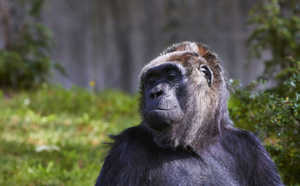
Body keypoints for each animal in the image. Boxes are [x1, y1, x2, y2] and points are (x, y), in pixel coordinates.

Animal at [95, 41, 282, 185]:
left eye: (171, 77)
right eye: (152, 82)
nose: (154, 93)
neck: (197, 140)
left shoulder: (252, 148)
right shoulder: (125, 147)